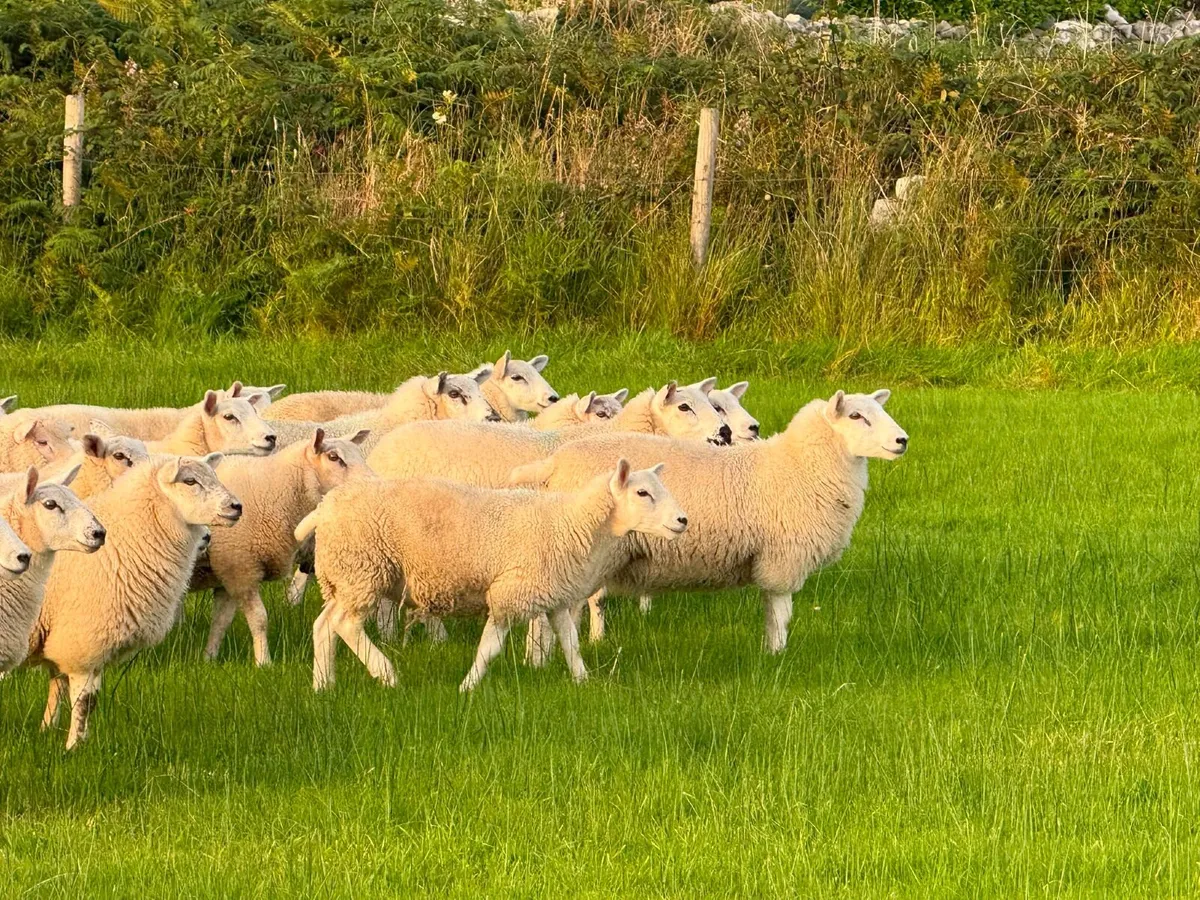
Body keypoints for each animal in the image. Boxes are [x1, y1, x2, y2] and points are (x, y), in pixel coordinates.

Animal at [27, 454, 242, 749]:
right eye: (189, 481)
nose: (237, 506)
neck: (126, 538)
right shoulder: (82, 642)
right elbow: (82, 701)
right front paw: (73, 748)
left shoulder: (83, 645)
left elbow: (79, 696)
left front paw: (61, 736)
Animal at [195, 428, 371, 666]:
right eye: (334, 457)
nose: (372, 483)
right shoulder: (241, 568)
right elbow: (260, 619)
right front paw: (264, 662)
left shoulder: (228, 572)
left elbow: (221, 622)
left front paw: (209, 659)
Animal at [296, 459, 687, 692]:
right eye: (642, 492)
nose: (683, 520)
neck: (569, 524)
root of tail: (323, 509)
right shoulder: (510, 593)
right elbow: (489, 646)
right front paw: (468, 686)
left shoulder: (555, 596)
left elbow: (570, 642)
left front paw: (583, 680)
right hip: (362, 568)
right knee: (346, 624)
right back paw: (387, 674)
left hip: (343, 578)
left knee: (324, 625)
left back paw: (323, 685)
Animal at [511, 390, 908, 656]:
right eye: (856, 416)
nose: (903, 440)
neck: (799, 466)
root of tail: (553, 464)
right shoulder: (782, 558)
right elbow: (780, 613)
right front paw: (777, 655)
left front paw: (770, 655)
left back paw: (538, 659)